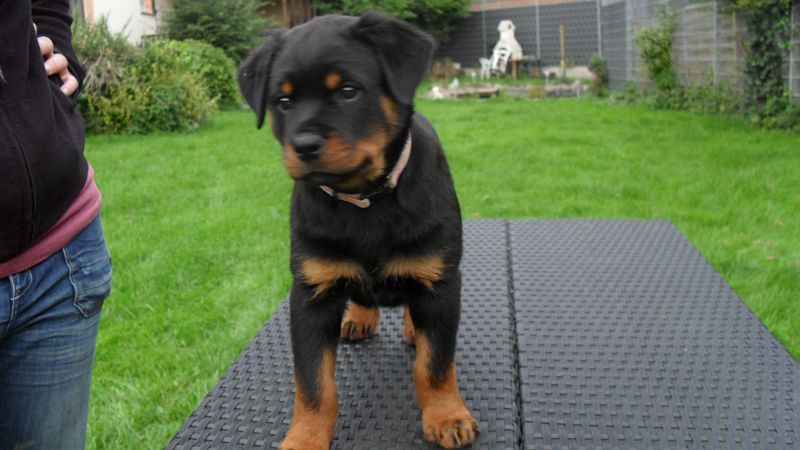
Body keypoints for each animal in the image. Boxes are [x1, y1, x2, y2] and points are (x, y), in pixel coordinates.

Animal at [238, 13, 478, 449]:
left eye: (348, 91)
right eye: (283, 101)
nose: (305, 145)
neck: (365, 199)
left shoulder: (441, 283)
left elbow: (435, 364)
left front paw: (447, 416)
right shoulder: (311, 295)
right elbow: (313, 383)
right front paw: (305, 437)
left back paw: (413, 328)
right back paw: (359, 317)